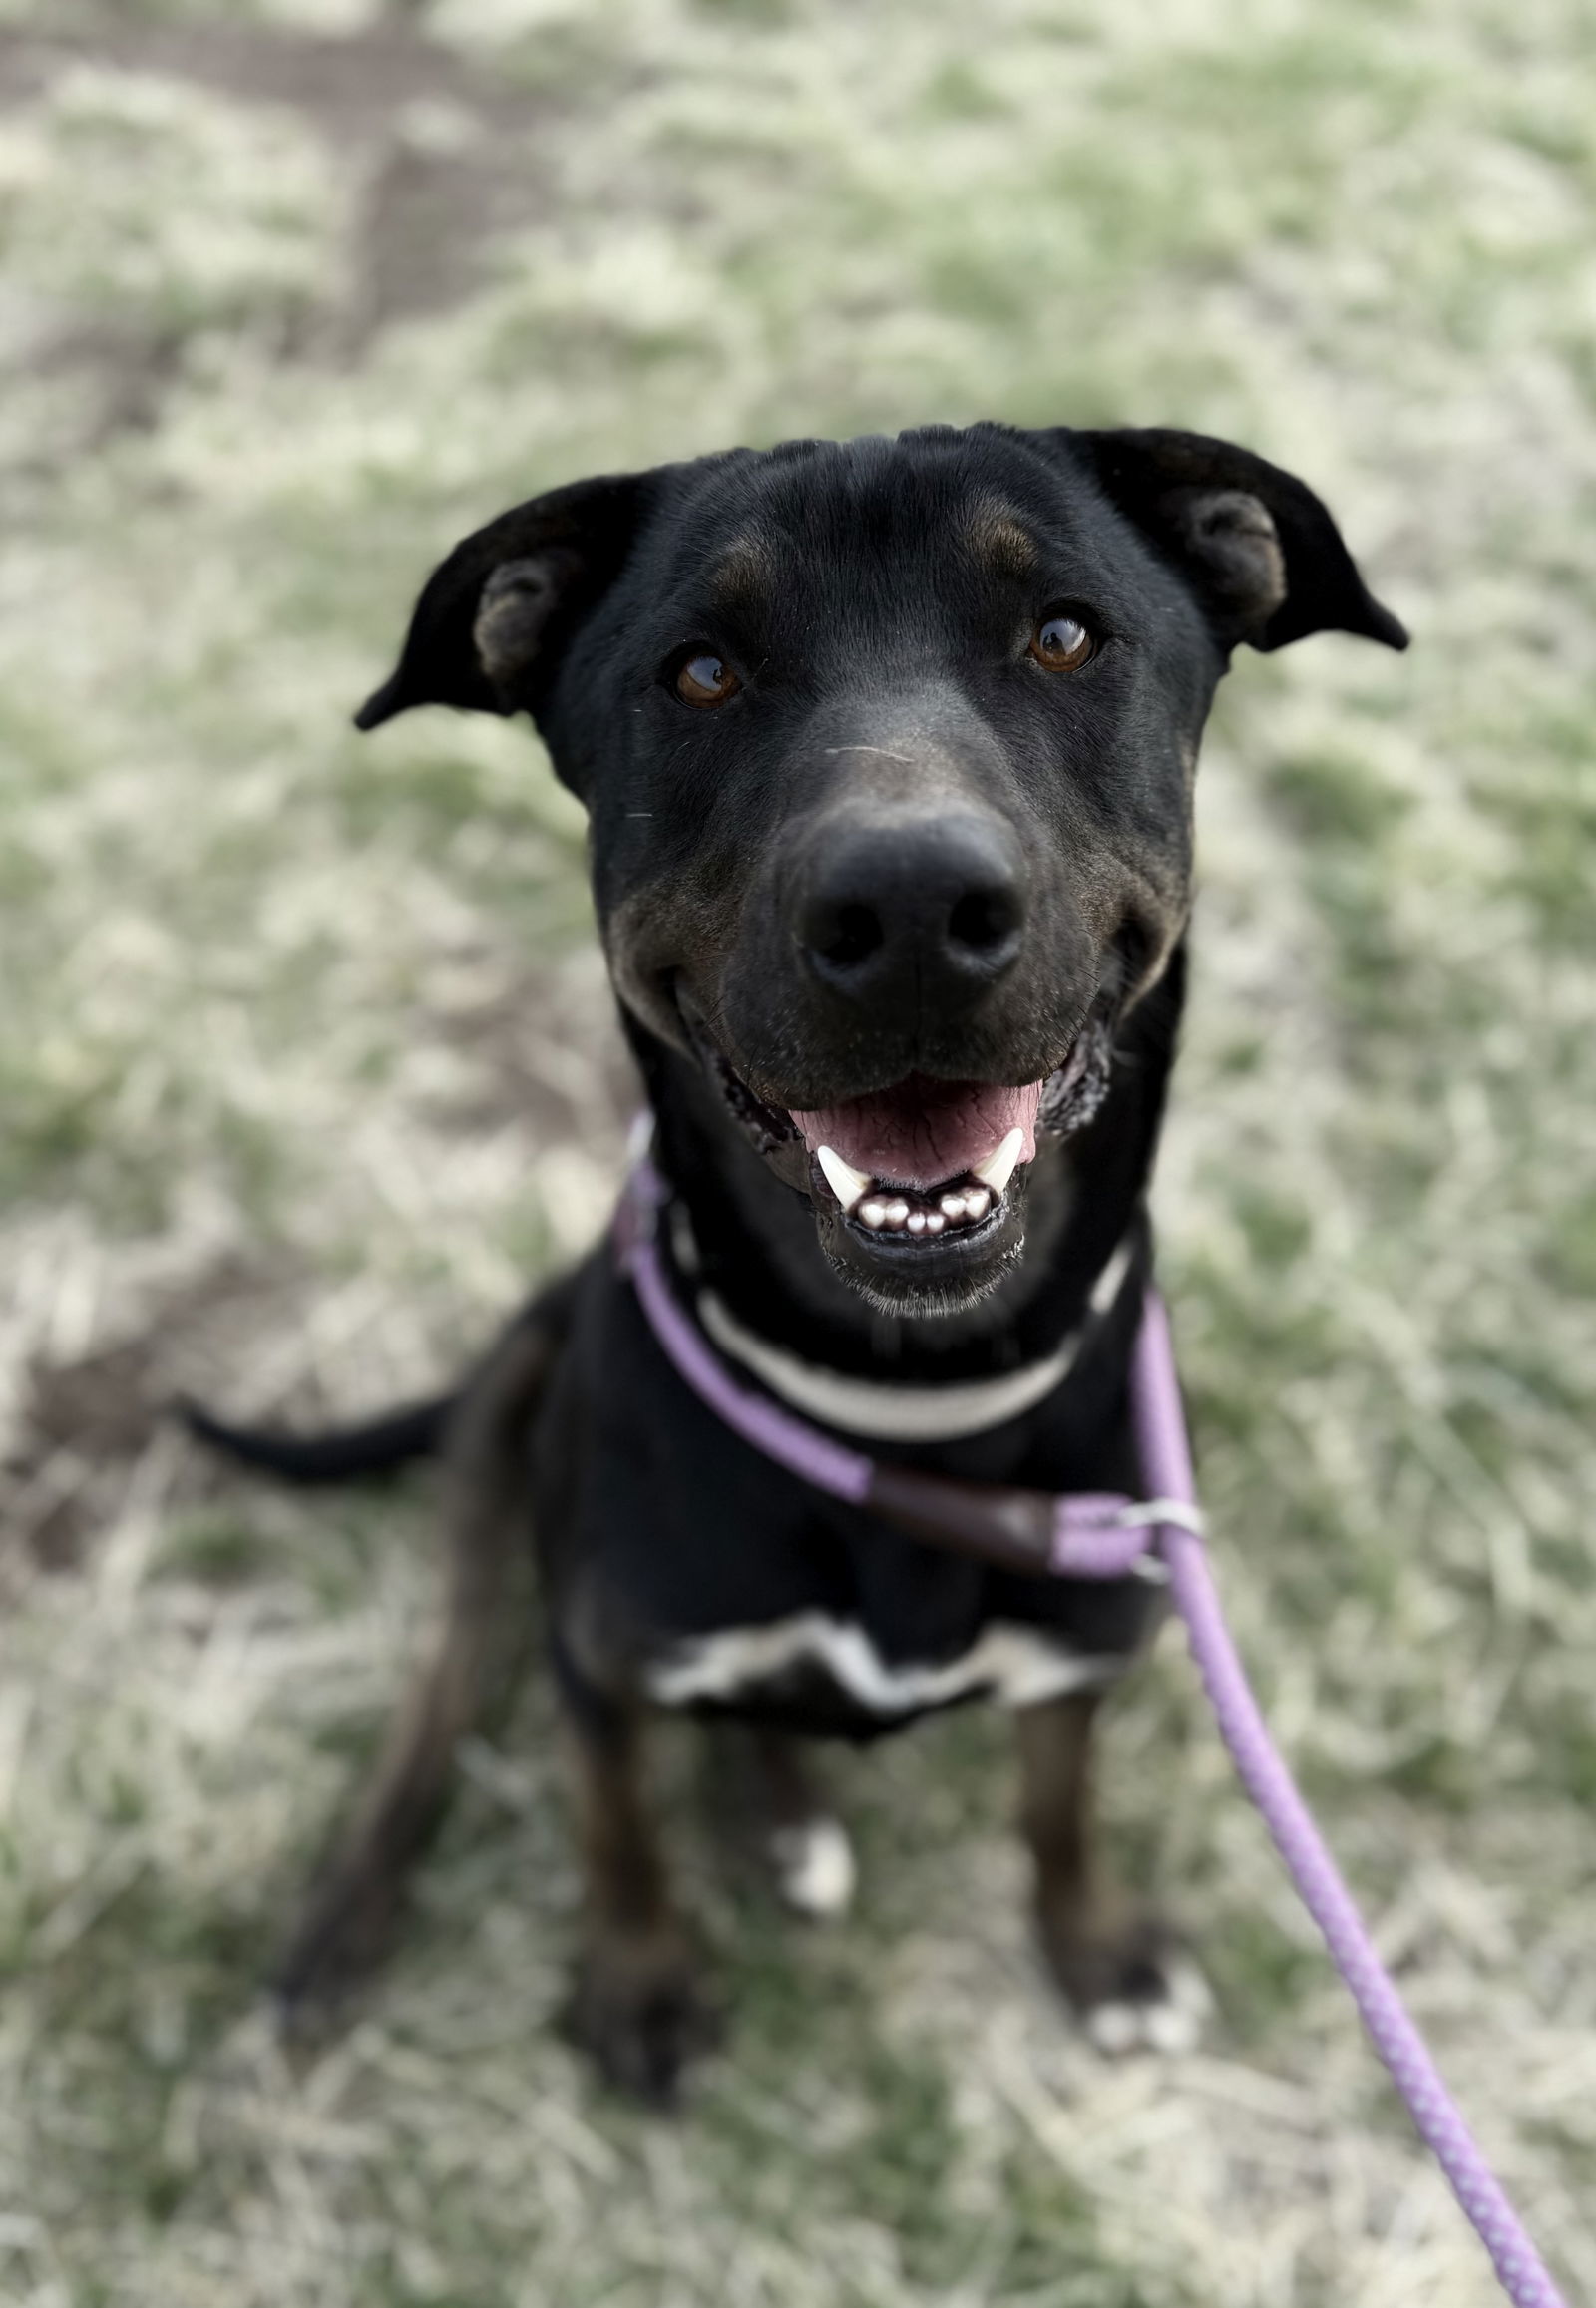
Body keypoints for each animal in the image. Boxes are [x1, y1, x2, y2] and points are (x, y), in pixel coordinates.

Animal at [194, 424, 1403, 2105]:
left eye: (1066, 633)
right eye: (700, 672)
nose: (909, 907)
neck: (903, 1404)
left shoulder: (1081, 1653)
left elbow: (1058, 1804)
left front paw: (1095, 1946)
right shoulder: (604, 1656)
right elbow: (615, 1822)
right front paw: (640, 1981)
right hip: (507, 1426)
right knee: (438, 1696)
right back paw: (352, 1913)